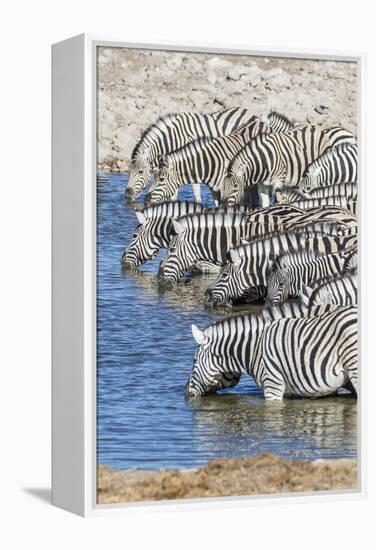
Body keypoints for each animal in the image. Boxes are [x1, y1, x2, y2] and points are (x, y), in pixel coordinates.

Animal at [220, 125, 356, 207]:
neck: (263, 164)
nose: (223, 206)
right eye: (223, 186)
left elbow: (278, 200)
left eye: (235, 186)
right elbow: (264, 203)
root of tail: (315, 127)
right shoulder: (263, 185)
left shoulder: (279, 181)